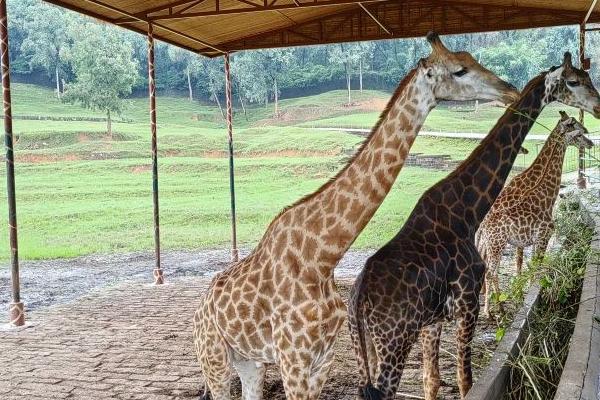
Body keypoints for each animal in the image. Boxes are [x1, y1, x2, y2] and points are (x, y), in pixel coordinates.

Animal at [192, 32, 520, 400]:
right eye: (459, 70)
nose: (509, 89)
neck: (323, 256)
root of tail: (200, 310)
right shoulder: (293, 358)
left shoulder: (322, 358)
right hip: (214, 358)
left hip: (250, 361)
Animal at [476, 110, 592, 316]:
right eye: (577, 132)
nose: (591, 142)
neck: (545, 197)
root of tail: (483, 225)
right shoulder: (542, 237)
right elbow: (535, 268)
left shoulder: (527, 241)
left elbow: (527, 266)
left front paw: (523, 295)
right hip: (496, 245)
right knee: (490, 272)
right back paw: (490, 311)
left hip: (492, 244)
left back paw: (496, 306)